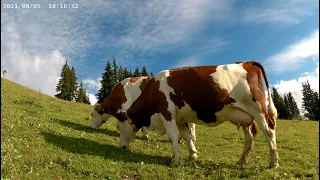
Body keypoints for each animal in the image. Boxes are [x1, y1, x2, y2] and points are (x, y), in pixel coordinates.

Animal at [116, 61, 278, 169]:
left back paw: (273, 163)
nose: (121, 147)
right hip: (245, 116)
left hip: (258, 110)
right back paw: (241, 161)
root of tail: (247, 62)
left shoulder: (167, 113)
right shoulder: (180, 118)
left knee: (269, 132)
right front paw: (193, 154)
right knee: (250, 136)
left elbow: (173, 137)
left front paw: (175, 160)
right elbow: (186, 136)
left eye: (118, 127)